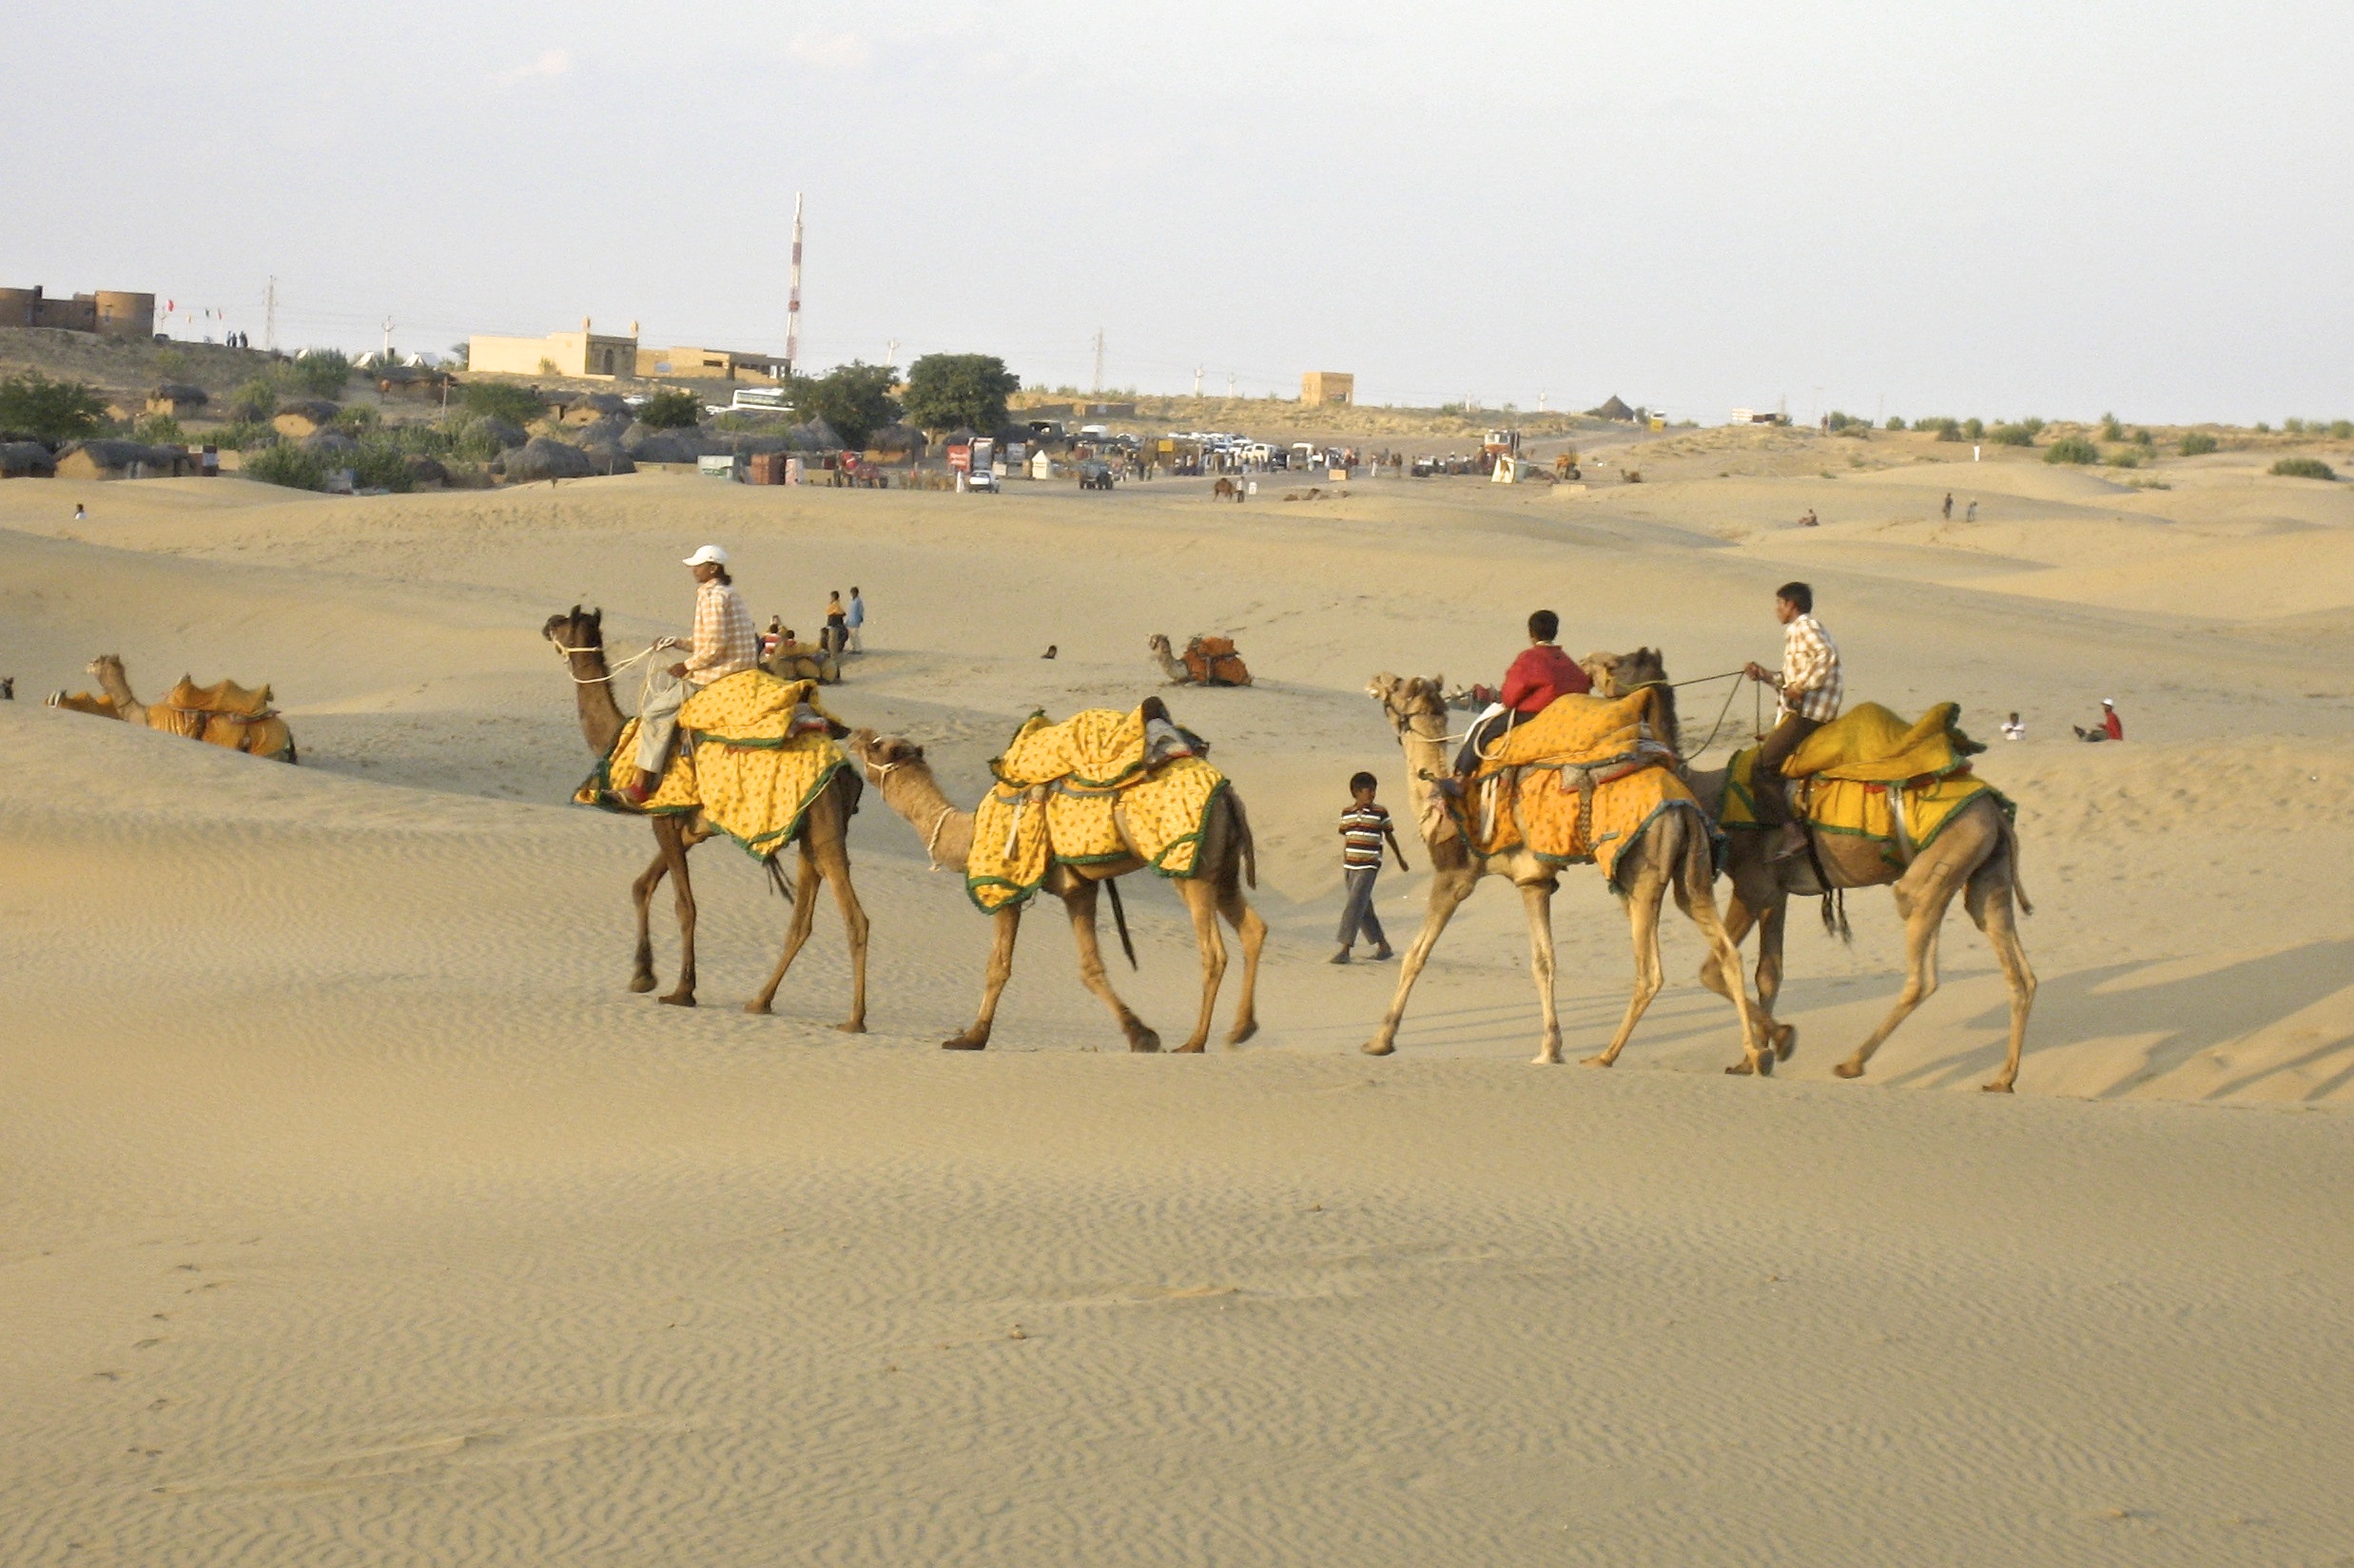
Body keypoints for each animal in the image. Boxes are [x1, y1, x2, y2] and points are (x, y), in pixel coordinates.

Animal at [543, 606, 870, 1026]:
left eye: (564, 621)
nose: (546, 624)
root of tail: (846, 772)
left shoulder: (663, 816)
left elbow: (685, 905)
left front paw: (682, 990)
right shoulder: (689, 827)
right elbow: (642, 885)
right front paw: (642, 974)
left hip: (824, 826)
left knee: (854, 917)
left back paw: (854, 1019)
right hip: (809, 830)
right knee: (801, 921)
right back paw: (760, 1000)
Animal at [848, 727, 1266, 1053]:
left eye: (878, 745)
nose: (856, 734)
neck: (967, 833)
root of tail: (1229, 795)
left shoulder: (1005, 885)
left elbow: (997, 966)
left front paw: (971, 1037)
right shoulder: (1077, 889)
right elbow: (1090, 967)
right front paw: (1141, 1034)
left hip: (1188, 866)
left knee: (1213, 951)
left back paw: (1194, 1042)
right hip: (1223, 867)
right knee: (1253, 928)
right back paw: (1241, 1030)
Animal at [1363, 674, 1765, 1071]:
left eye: (1395, 687)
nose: (1375, 681)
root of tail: (1683, 806)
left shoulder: (1455, 874)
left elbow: (1417, 954)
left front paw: (1380, 1040)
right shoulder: (1534, 881)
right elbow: (1545, 962)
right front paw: (1551, 1049)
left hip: (1639, 873)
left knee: (1650, 970)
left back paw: (1605, 1056)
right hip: (1692, 869)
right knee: (1725, 949)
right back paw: (1755, 1054)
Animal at [1587, 649, 2036, 1093]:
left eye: (1614, 664)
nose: (1587, 666)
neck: (1710, 795)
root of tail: (1994, 810)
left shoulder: (1753, 884)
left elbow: (1712, 970)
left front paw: (1779, 1042)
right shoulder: (1776, 892)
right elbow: (1769, 973)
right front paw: (1750, 1059)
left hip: (1936, 869)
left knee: (1922, 972)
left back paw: (1852, 1064)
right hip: (1985, 872)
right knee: (2018, 971)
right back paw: (2003, 1078)